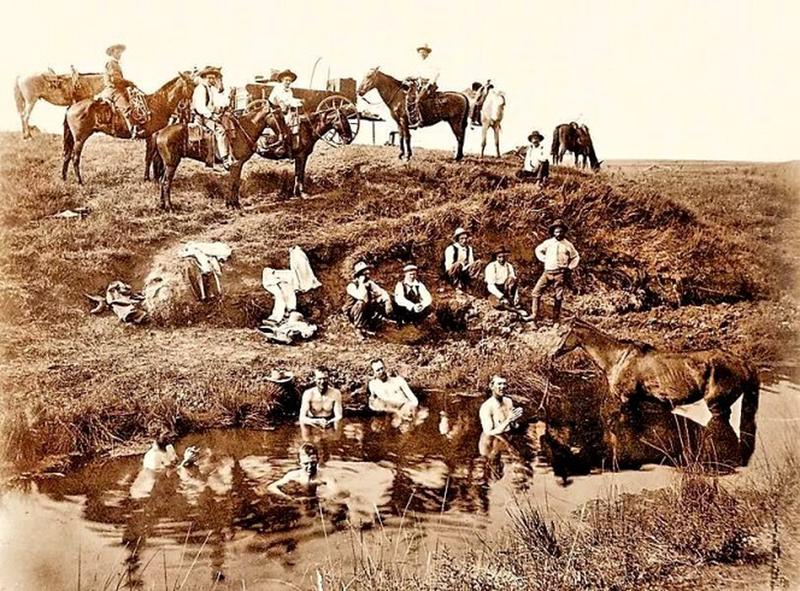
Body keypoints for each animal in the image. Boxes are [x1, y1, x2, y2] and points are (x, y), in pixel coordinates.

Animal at [61, 73, 195, 185]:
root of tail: (71, 107)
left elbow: (151, 158)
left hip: (73, 139)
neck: (159, 104)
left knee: (66, 156)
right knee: (74, 158)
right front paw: (150, 179)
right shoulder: (152, 136)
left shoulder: (150, 137)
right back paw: (79, 181)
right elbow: (151, 158)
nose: (192, 112)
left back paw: (64, 178)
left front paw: (151, 177)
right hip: (80, 139)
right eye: (190, 85)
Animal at [152, 72, 358, 210]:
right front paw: (233, 205)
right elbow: (235, 183)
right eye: (343, 118)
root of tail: (160, 132)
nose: (348, 138)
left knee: (162, 181)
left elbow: (236, 183)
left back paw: (163, 205)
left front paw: (234, 203)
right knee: (165, 182)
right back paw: (169, 206)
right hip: (172, 163)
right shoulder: (240, 163)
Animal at [552, 320, 764, 468]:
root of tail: (744, 363)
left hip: (717, 404)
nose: (553, 354)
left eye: (563, 334)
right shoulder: (636, 402)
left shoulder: (626, 400)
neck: (617, 359)